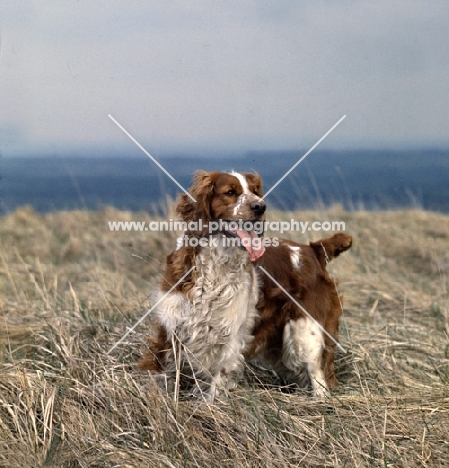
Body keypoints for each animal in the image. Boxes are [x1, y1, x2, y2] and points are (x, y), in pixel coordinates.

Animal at [139, 170, 266, 400]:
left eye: (255, 192)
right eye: (230, 192)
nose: (260, 206)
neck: (217, 265)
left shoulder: (231, 332)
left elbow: (220, 376)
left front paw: (209, 404)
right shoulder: (172, 325)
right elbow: (168, 371)